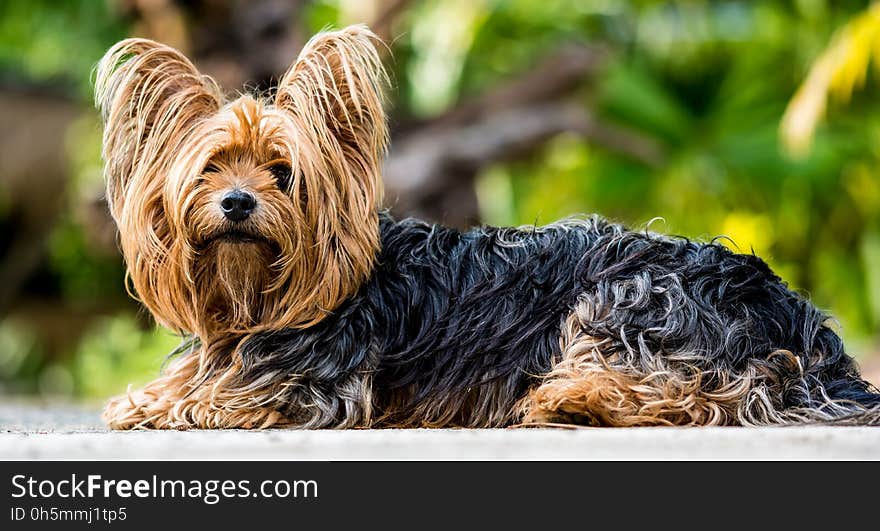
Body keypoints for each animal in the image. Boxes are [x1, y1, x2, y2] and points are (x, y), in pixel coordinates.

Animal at [94, 26, 880, 432]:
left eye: (283, 174)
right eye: (210, 168)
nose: (235, 204)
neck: (256, 296)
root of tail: (800, 318)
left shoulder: (319, 386)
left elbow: (220, 397)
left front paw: (169, 404)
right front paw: (149, 395)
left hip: (635, 295)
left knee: (714, 393)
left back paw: (575, 400)